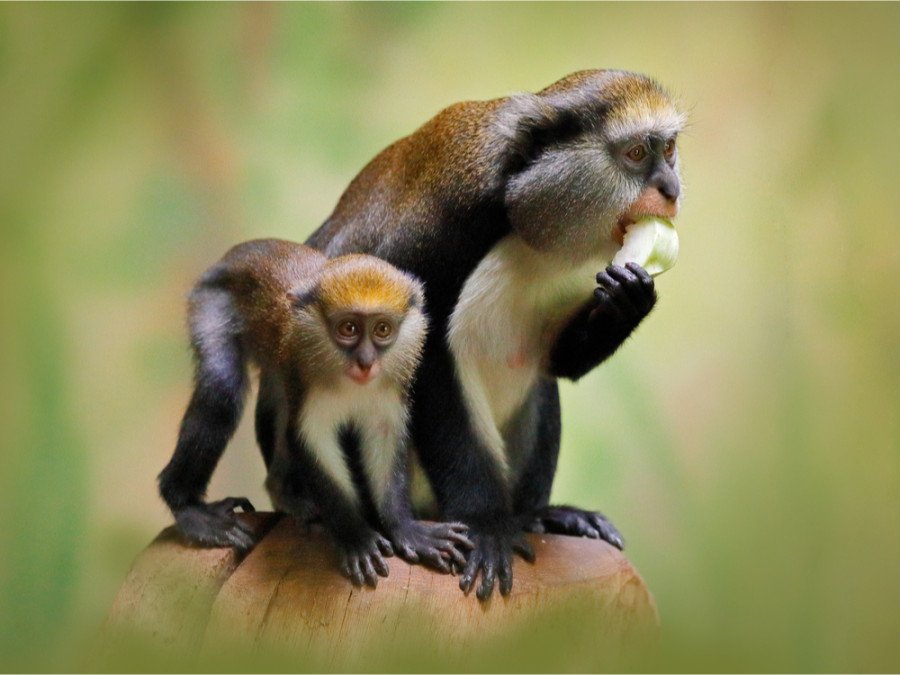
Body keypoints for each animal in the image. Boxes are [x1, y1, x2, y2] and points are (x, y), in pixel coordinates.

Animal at [159, 239, 472, 588]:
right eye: (348, 328)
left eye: (382, 329)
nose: (366, 362)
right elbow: (312, 441)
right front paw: (356, 537)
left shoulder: (388, 394)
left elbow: (385, 440)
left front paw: (406, 529)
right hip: (211, 302)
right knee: (220, 389)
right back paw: (187, 507)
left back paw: (283, 490)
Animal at [306, 70, 684, 604]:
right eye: (635, 154)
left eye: (668, 148)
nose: (671, 189)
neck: (519, 205)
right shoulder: (439, 228)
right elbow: (423, 363)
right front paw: (485, 525)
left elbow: (559, 363)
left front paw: (630, 300)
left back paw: (540, 516)